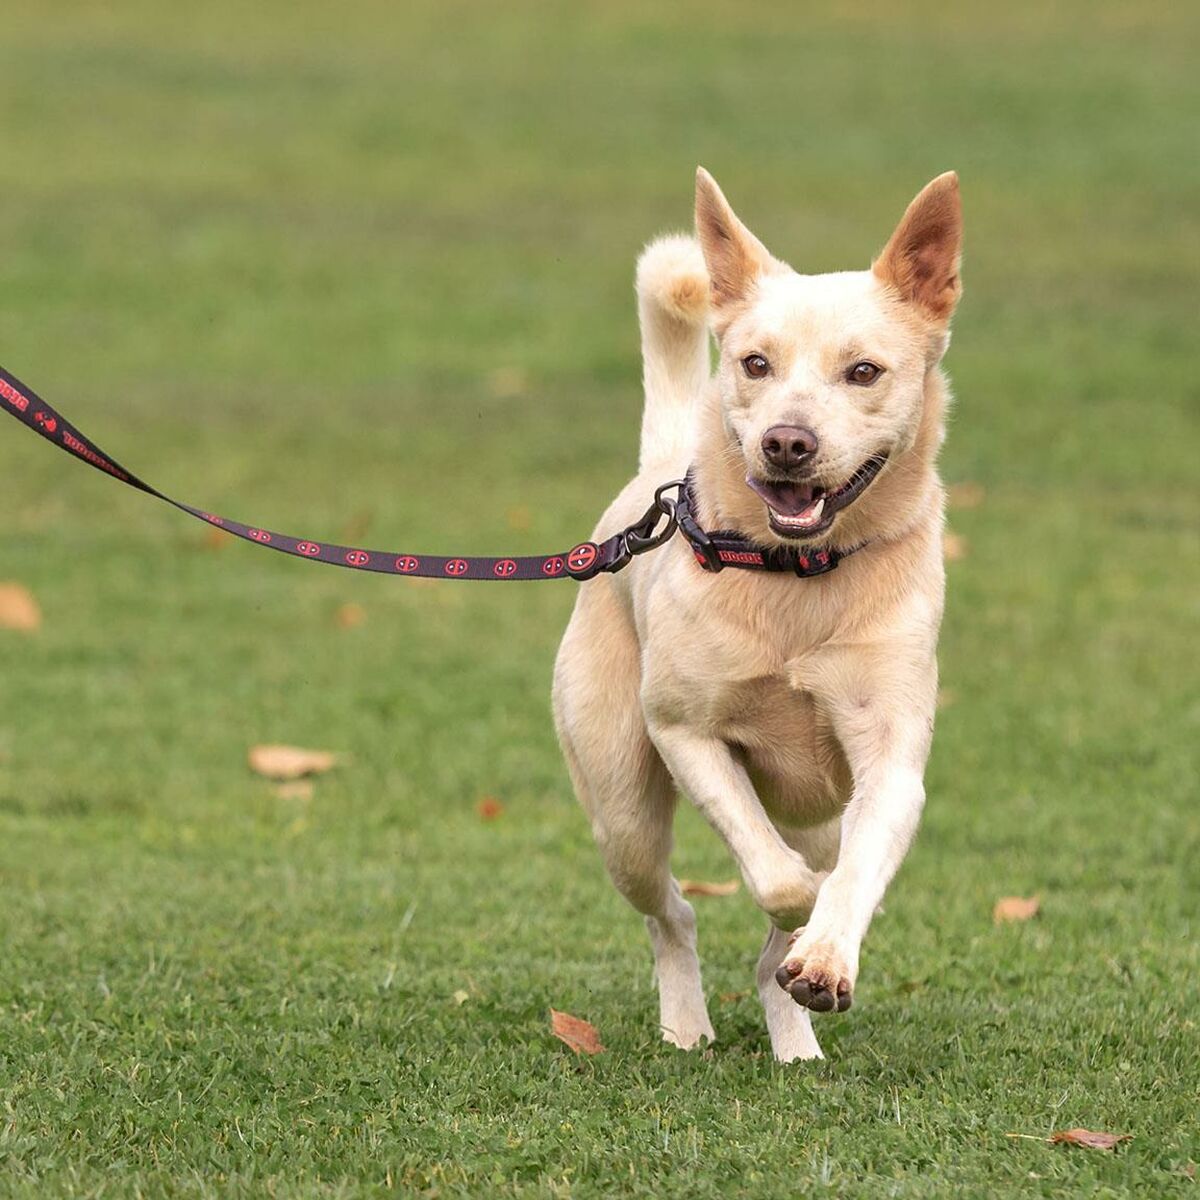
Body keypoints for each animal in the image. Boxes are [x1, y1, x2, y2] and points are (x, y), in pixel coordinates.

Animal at [549, 169, 960, 1060]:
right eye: (754, 363)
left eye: (865, 371)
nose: (786, 443)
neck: (796, 577)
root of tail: (655, 469)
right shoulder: (686, 732)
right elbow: (775, 880)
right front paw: (801, 910)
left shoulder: (891, 765)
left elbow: (852, 873)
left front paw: (827, 959)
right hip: (622, 808)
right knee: (673, 913)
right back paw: (686, 1024)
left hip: (815, 813)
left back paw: (796, 1042)